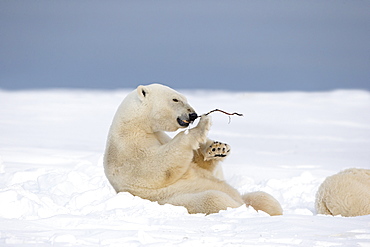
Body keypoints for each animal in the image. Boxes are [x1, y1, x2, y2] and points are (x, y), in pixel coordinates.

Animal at [102, 84, 282, 215]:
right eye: (175, 99)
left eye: (184, 98)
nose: (193, 114)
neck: (135, 124)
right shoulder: (129, 149)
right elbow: (158, 166)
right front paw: (202, 126)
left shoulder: (158, 135)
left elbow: (198, 164)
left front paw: (218, 148)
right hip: (180, 201)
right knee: (214, 198)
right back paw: (242, 210)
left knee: (264, 198)